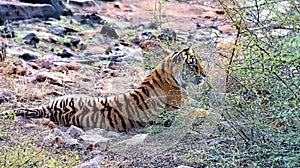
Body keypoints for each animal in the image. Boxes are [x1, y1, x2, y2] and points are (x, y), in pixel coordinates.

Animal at [2, 47, 209, 131]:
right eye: (193, 64)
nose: (206, 74)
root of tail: (49, 109)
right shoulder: (178, 112)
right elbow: (202, 112)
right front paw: (211, 114)